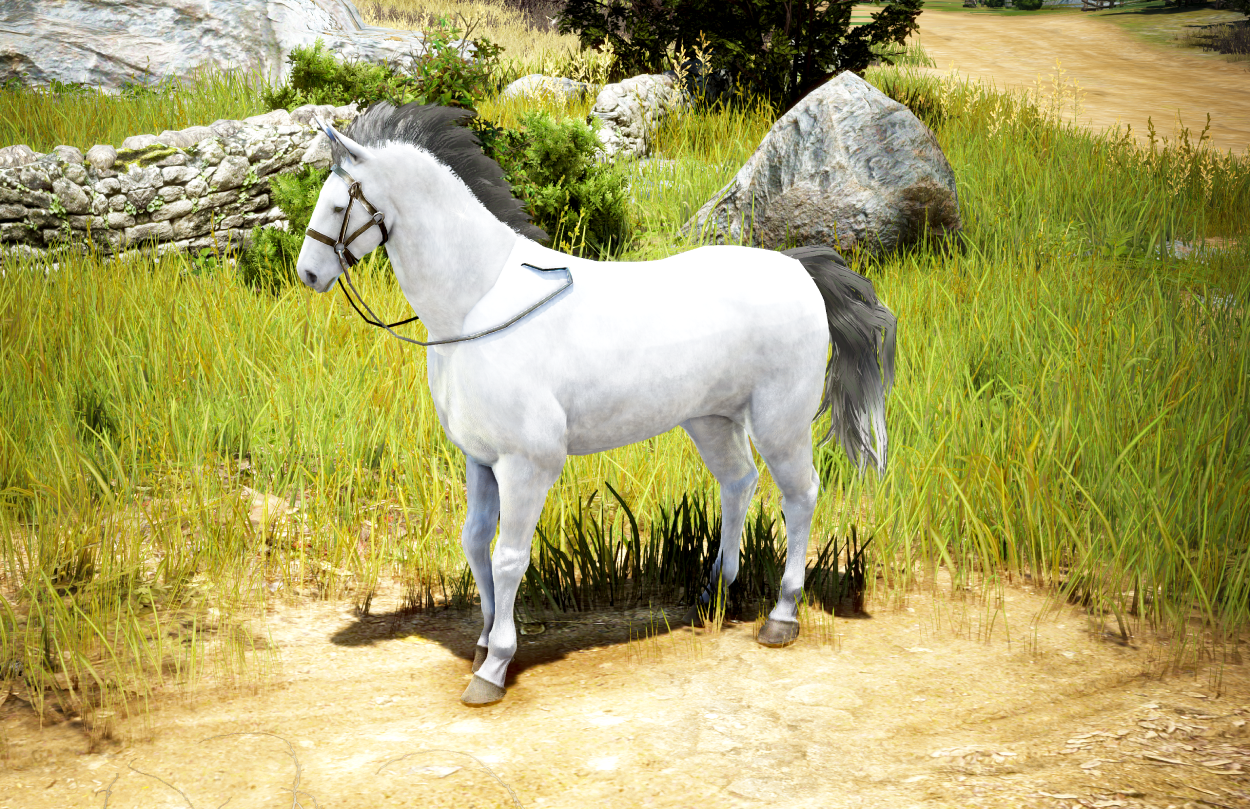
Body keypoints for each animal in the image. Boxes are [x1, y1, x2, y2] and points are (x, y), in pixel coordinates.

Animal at [296, 102, 897, 706]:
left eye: (337, 203)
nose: (308, 274)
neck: (480, 303)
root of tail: (797, 268)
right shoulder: (480, 460)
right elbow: (474, 543)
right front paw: (484, 643)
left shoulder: (527, 466)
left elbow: (508, 558)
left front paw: (494, 669)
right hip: (709, 420)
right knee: (738, 483)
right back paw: (714, 596)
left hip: (781, 423)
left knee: (800, 497)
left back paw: (781, 616)